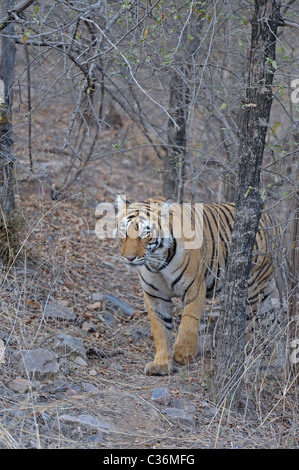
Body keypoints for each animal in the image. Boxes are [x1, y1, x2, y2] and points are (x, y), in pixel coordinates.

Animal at [115, 194, 276, 374]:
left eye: (144, 234)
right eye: (124, 231)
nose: (129, 258)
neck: (157, 263)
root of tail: (269, 214)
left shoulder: (194, 286)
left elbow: (189, 321)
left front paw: (182, 354)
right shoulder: (154, 294)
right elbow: (160, 329)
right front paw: (161, 363)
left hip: (252, 288)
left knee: (249, 325)